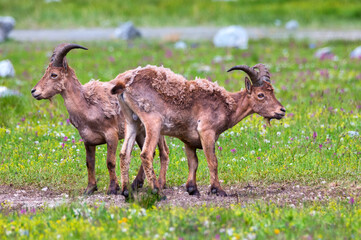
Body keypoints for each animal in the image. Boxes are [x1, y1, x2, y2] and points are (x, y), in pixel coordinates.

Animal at [31, 44, 169, 195]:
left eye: (54, 74)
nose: (34, 91)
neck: (87, 105)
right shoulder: (88, 140)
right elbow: (89, 163)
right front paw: (90, 188)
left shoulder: (111, 135)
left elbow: (110, 162)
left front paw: (113, 188)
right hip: (139, 131)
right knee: (152, 152)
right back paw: (136, 183)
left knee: (163, 152)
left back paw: (160, 183)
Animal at [111, 63, 286, 197]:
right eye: (261, 95)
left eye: (272, 91)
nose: (282, 111)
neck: (227, 106)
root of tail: (124, 85)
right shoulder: (207, 132)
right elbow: (212, 161)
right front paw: (218, 190)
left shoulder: (188, 140)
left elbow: (193, 162)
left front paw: (192, 189)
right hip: (152, 123)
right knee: (146, 153)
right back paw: (157, 192)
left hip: (132, 121)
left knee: (124, 153)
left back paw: (126, 192)